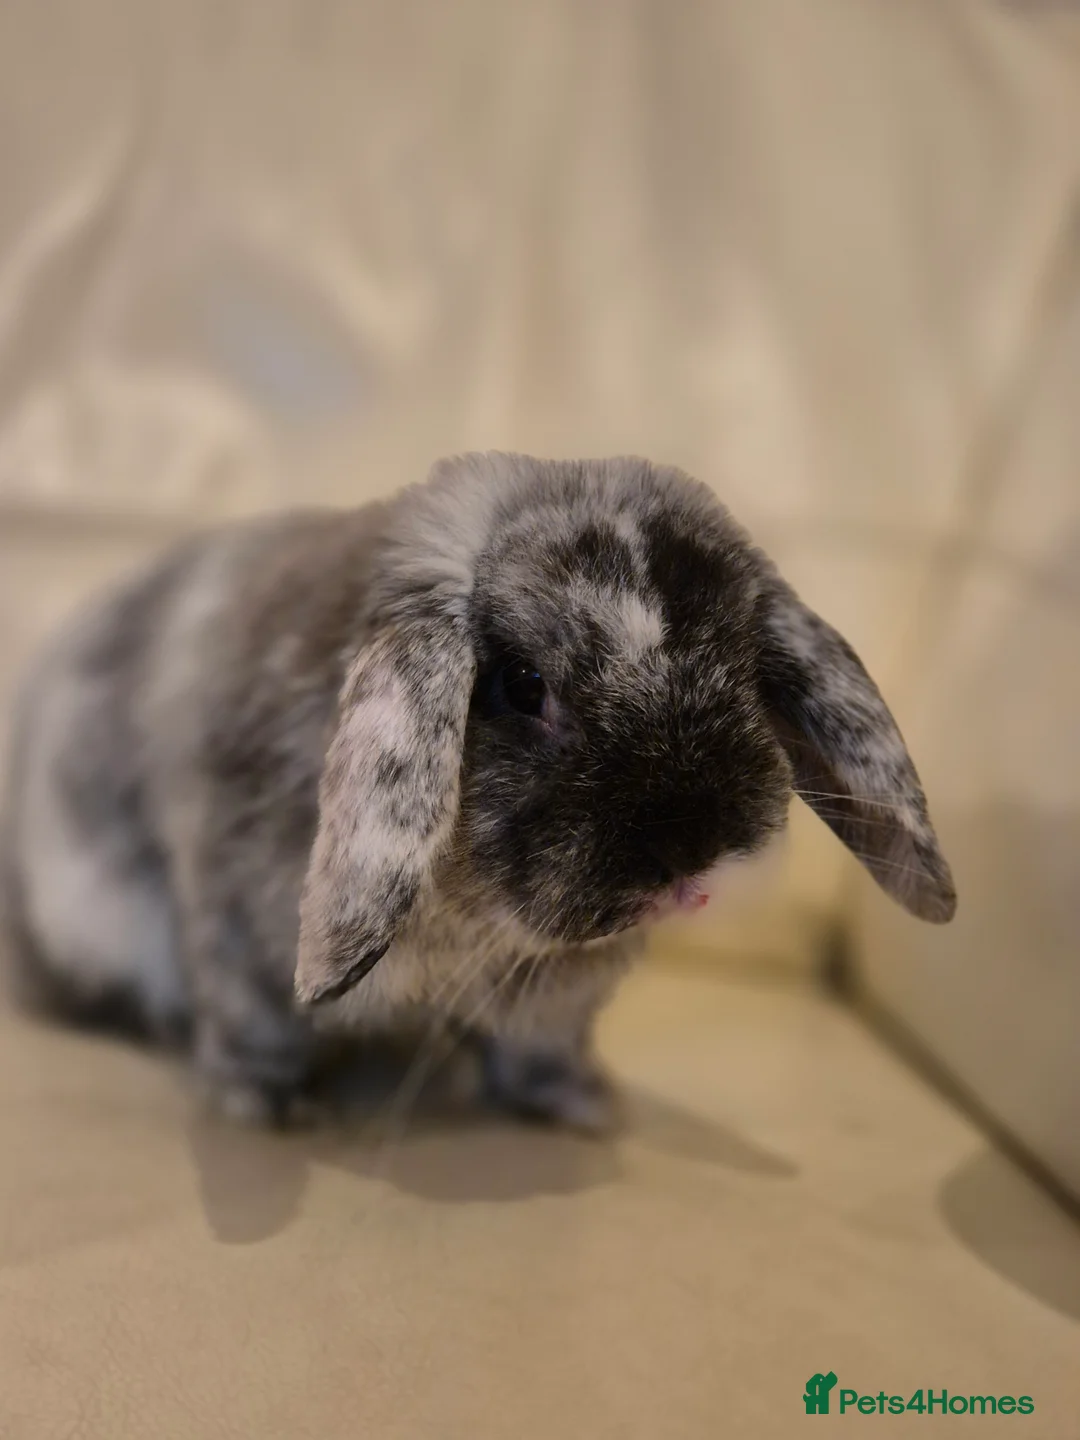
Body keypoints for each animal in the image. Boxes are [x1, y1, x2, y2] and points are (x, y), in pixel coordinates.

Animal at [1, 452, 956, 1130]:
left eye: (750, 670)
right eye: (523, 685)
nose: (691, 858)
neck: (470, 915)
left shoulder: (555, 1001)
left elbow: (540, 1051)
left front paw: (587, 1107)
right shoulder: (234, 924)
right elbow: (254, 1024)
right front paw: (264, 1107)